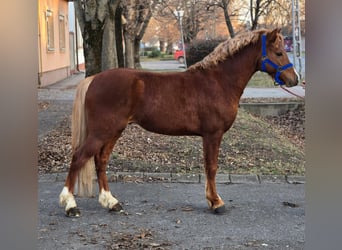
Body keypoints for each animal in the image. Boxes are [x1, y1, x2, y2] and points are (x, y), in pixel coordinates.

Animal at [60, 28, 298, 217]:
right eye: (279, 52)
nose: (294, 79)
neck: (219, 81)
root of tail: (93, 79)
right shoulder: (213, 134)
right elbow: (211, 167)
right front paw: (216, 203)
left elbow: (208, 167)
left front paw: (212, 200)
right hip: (102, 131)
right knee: (79, 157)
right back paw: (70, 205)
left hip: (114, 131)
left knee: (100, 161)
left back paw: (111, 202)